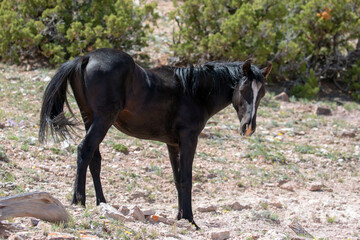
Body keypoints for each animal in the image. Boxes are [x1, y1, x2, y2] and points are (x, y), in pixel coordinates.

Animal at [38, 47, 270, 228]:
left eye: (262, 93)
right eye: (244, 88)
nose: (249, 127)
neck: (194, 91)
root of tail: (84, 58)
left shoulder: (172, 144)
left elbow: (177, 179)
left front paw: (180, 216)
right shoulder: (189, 139)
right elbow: (186, 178)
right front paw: (190, 220)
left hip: (90, 118)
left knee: (94, 159)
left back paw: (102, 202)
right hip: (103, 119)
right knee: (84, 150)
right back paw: (79, 200)